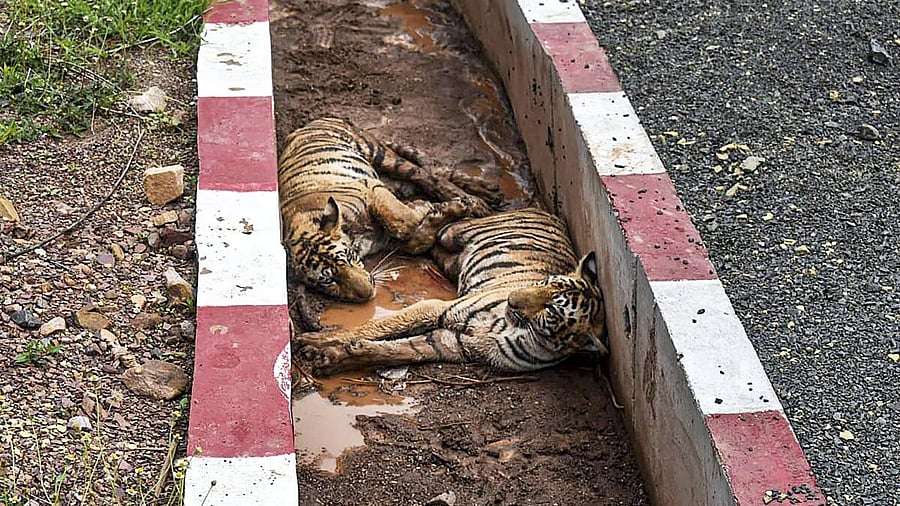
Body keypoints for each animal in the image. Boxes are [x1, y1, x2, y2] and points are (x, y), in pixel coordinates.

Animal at [278, 117, 499, 303]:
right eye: (328, 280)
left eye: (348, 257)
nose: (369, 292)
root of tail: (314, 121)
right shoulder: (387, 237)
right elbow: (415, 241)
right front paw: (431, 210)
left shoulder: (369, 186)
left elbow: (404, 221)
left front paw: (426, 207)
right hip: (396, 179)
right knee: (431, 173)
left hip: (380, 155)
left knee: (425, 174)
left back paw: (479, 199)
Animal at [297, 207, 607, 374]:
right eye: (544, 283)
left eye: (552, 310)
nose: (511, 299)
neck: (512, 328)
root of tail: (542, 209)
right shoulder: (438, 307)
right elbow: (377, 326)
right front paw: (315, 340)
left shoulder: (452, 344)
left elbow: (400, 350)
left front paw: (336, 357)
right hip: (457, 234)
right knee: (426, 237)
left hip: (454, 261)